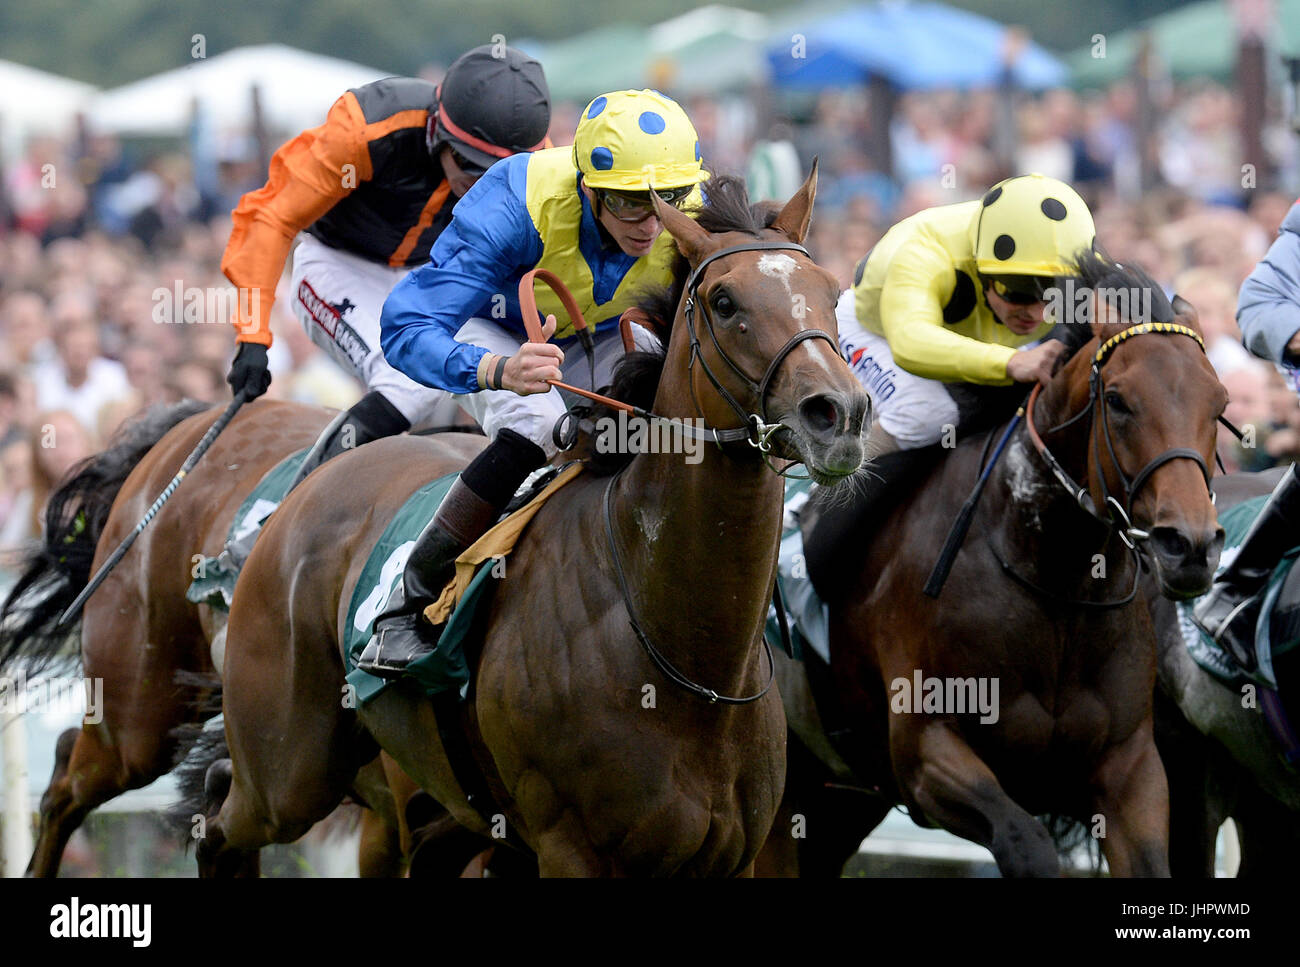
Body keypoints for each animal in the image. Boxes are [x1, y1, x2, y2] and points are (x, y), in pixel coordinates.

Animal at [188, 170, 868, 878]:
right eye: (725, 301)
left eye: (832, 293)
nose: (838, 413)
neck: (693, 667)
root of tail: (310, 482)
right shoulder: (572, 849)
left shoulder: (732, 857)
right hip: (289, 768)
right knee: (218, 820)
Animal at [769, 254, 1227, 878]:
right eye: (1118, 401)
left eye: (1219, 404)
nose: (1191, 546)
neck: (1055, 583)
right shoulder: (927, 752)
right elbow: (1025, 842)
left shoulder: (1131, 766)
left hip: (838, 799)